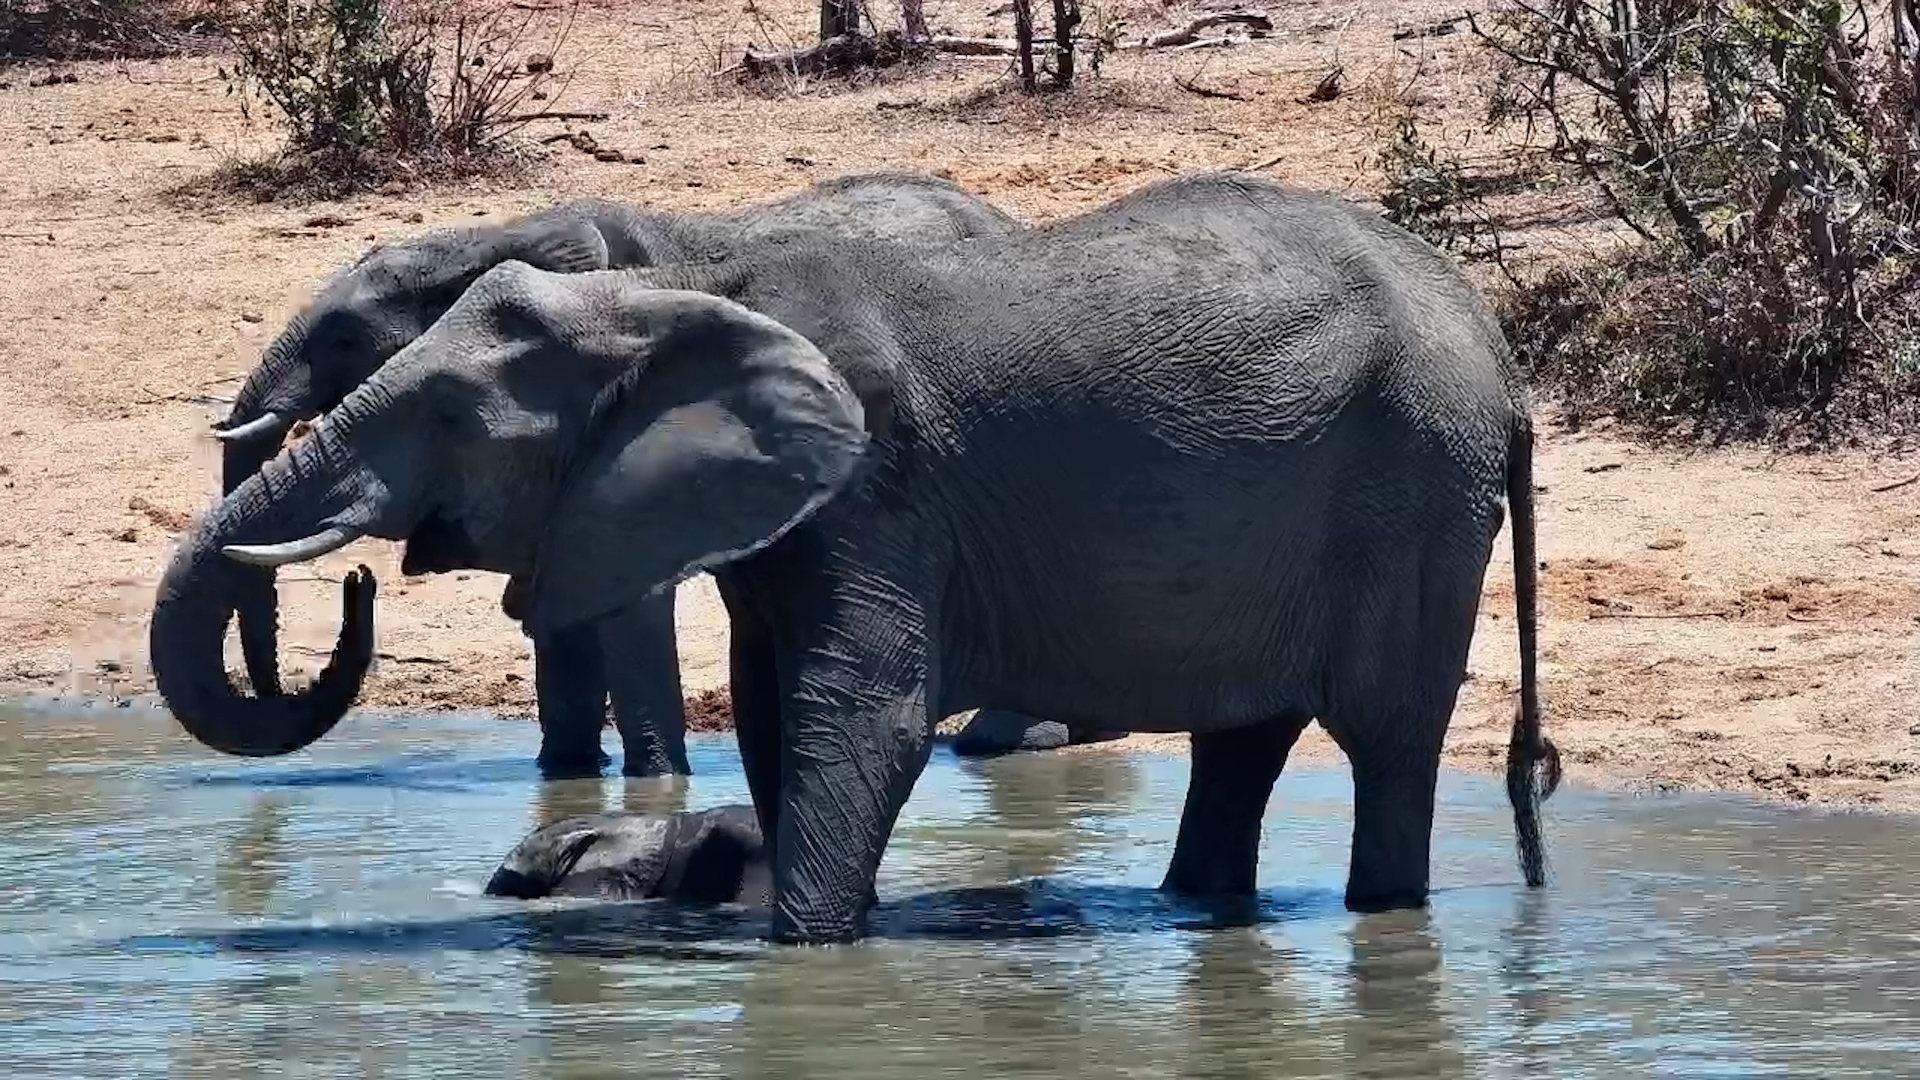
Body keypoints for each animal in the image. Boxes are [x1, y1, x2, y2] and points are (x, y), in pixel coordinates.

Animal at [205, 171, 1032, 779]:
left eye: (345, 338)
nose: (361, 585)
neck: (493, 231)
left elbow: (628, 610)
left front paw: (656, 790)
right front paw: (566, 779)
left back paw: (998, 744)